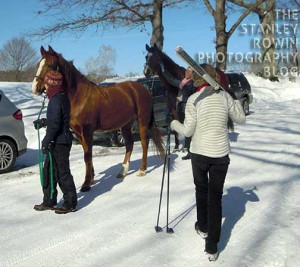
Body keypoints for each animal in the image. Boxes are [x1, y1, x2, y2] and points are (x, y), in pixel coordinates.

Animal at [31, 45, 165, 193]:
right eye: (38, 64)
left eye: (49, 66)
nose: (35, 88)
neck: (79, 97)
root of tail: (144, 89)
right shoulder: (79, 133)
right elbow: (87, 153)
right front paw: (91, 179)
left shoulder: (87, 131)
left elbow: (87, 156)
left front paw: (86, 184)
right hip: (126, 124)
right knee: (129, 144)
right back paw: (122, 171)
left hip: (142, 120)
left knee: (144, 142)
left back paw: (142, 170)